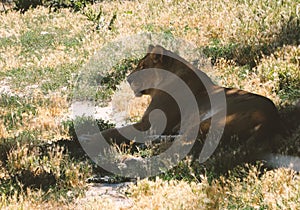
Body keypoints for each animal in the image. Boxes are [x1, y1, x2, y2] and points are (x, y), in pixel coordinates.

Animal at [86, 44, 284, 171]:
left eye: (142, 66)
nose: (127, 79)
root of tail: (271, 120)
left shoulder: (147, 124)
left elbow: (113, 131)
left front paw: (89, 139)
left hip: (208, 121)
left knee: (179, 149)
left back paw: (128, 161)